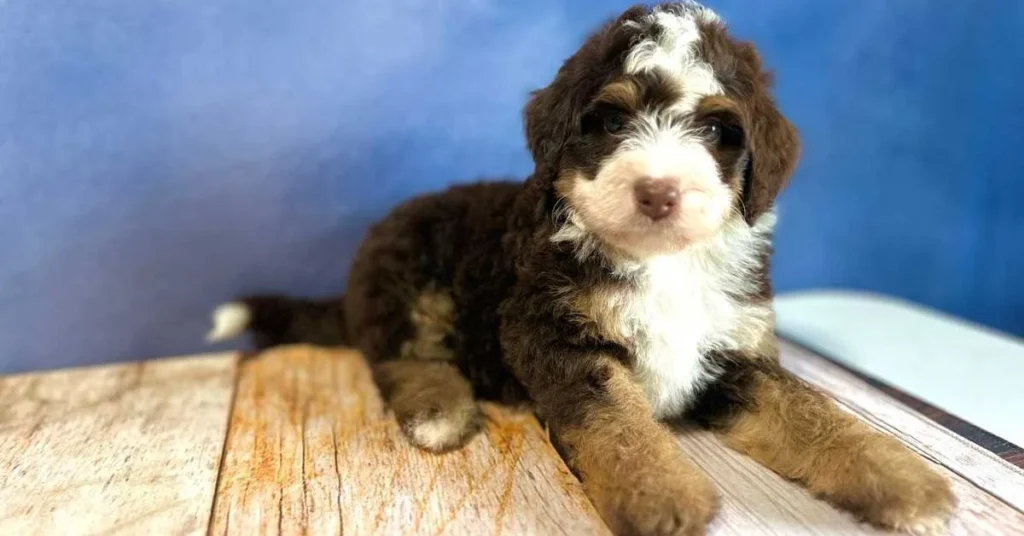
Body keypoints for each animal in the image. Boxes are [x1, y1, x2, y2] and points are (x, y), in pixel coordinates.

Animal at [209, 2, 958, 532]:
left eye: (719, 131)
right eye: (611, 121)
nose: (658, 191)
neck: (663, 263)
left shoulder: (735, 351)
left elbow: (812, 412)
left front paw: (908, 482)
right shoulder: (553, 336)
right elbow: (617, 424)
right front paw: (665, 496)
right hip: (412, 276)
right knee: (400, 355)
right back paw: (439, 411)